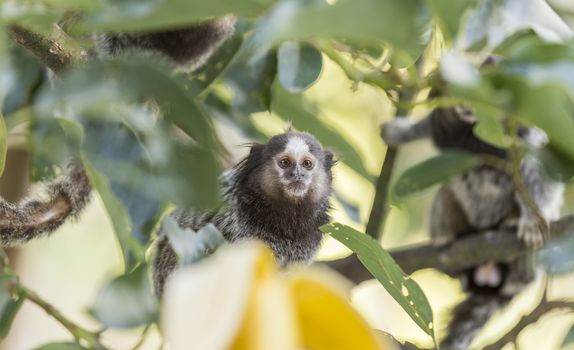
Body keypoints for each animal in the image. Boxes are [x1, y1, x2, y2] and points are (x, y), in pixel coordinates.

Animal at [382, 103, 568, 348]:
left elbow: (538, 170)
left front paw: (532, 220)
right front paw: (401, 132)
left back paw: (511, 224)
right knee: (445, 193)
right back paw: (447, 235)